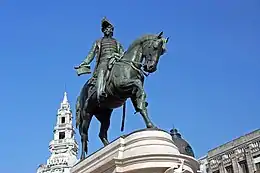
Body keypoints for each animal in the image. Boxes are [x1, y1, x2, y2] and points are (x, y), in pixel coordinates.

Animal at [75, 31, 169, 160]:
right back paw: (83, 158)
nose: (151, 68)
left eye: (162, 51)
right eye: (154, 47)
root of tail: (80, 95)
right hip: (87, 114)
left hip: (104, 115)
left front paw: (150, 124)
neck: (128, 66)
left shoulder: (132, 93)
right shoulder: (121, 87)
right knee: (84, 135)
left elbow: (140, 104)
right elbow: (137, 84)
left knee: (102, 133)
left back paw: (107, 147)